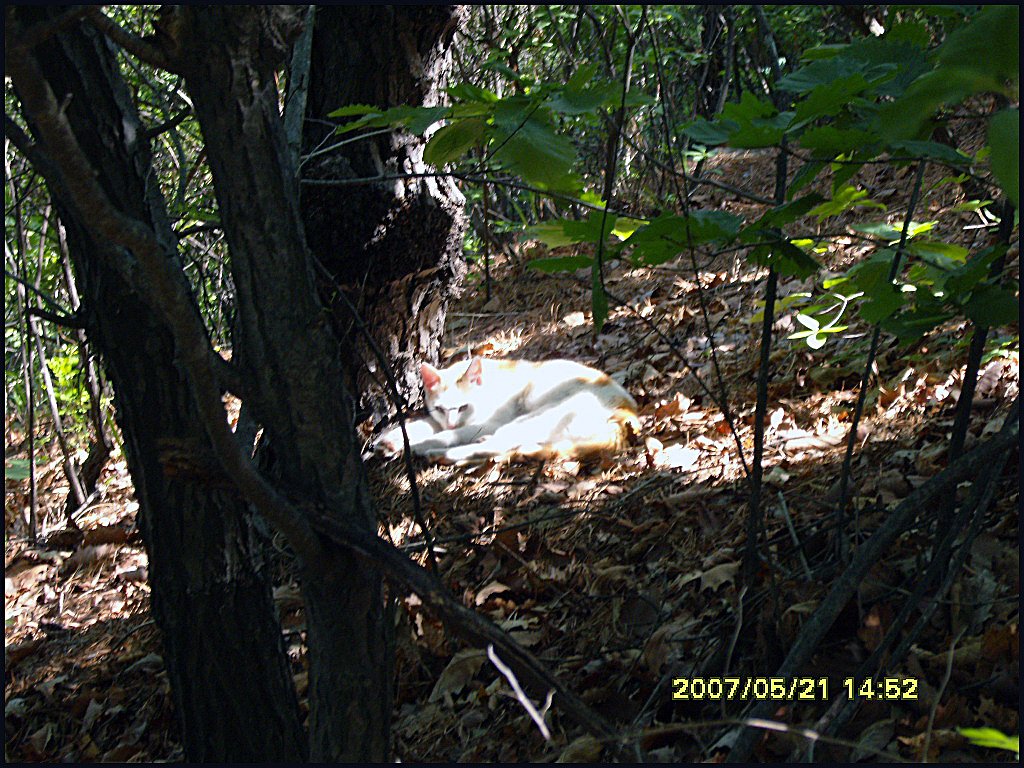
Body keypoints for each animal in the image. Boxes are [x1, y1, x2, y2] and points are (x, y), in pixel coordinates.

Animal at [372, 360, 634, 466]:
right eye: (440, 409)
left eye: (463, 406)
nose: (452, 423)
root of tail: (628, 413)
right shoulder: (440, 419)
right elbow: (424, 424)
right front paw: (390, 440)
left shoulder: (489, 422)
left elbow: (446, 434)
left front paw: (418, 444)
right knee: (505, 446)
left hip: (535, 418)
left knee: (500, 442)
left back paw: (441, 453)